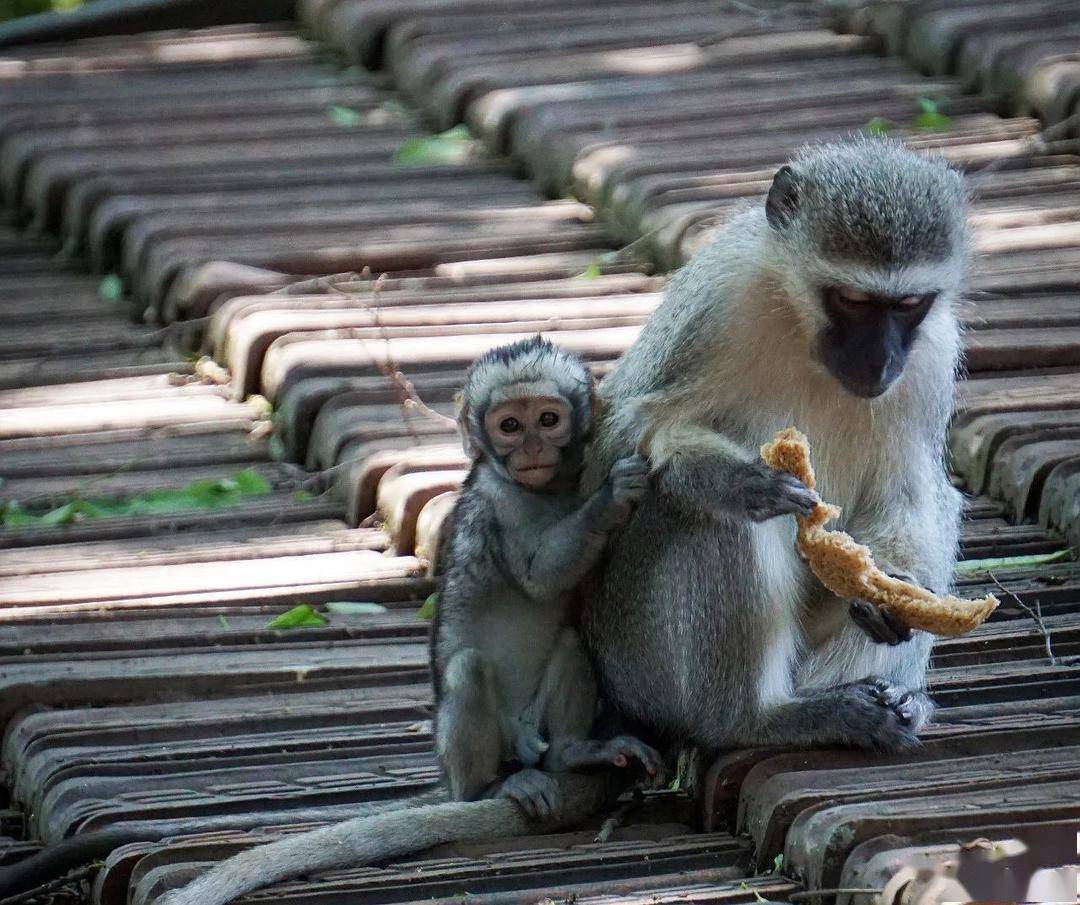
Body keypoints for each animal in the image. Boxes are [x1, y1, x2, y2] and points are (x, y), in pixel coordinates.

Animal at [157, 339, 656, 905]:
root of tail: (525, 748)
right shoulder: (500, 499)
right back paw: (489, 787)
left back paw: (574, 753)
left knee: (568, 645)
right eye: (510, 425)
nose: (530, 448)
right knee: (467, 670)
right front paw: (610, 500)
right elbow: (539, 579)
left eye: (547, 419)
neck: (545, 492)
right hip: (499, 742)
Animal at [583, 138, 972, 755]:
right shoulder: (716, 303)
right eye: (852, 300)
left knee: (939, 502)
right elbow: (632, 426)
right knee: (720, 522)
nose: (880, 361)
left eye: (908, 304)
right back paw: (757, 719)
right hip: (636, 661)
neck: (800, 325)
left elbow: (908, 492)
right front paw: (736, 480)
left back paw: (890, 699)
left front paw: (893, 591)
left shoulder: (931, 356)